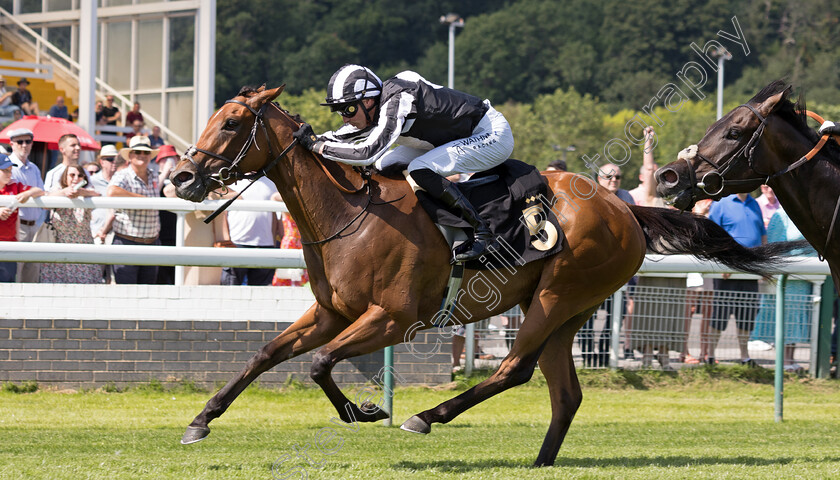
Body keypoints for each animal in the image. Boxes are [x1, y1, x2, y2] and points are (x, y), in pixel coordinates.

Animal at [171, 84, 800, 466]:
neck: (351, 212)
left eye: (231, 122)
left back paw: (427, 418)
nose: (181, 177)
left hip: (556, 296)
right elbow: (265, 355)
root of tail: (625, 209)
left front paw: (366, 411)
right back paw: (541, 461)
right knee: (564, 392)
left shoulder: (392, 318)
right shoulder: (331, 313)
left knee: (514, 369)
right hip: (565, 312)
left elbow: (321, 364)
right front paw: (200, 421)